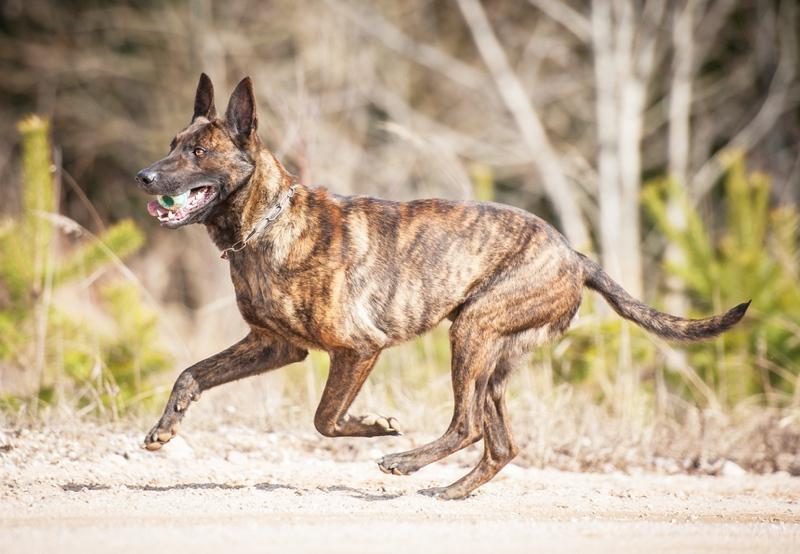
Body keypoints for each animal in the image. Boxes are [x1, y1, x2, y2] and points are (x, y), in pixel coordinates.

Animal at [136, 73, 752, 496]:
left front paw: (376, 426)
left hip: (472, 333)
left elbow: (326, 419)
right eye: (170, 143)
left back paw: (407, 463)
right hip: (495, 360)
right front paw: (165, 428)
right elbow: (192, 373)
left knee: (467, 424)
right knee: (500, 442)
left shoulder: (358, 349)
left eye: (198, 152)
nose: (143, 176)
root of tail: (576, 256)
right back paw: (451, 491)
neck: (264, 225)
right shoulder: (275, 346)